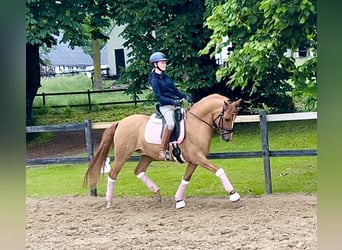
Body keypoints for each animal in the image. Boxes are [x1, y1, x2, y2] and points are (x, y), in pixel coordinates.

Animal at [84, 93, 242, 208]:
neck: (197, 124)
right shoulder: (198, 158)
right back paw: (109, 202)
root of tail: (120, 122)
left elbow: (186, 179)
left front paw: (179, 200)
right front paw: (233, 195)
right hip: (123, 155)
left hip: (146, 155)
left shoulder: (195, 160)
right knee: (113, 174)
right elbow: (219, 170)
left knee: (138, 171)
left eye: (235, 117)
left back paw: (157, 193)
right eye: (227, 118)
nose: (227, 138)